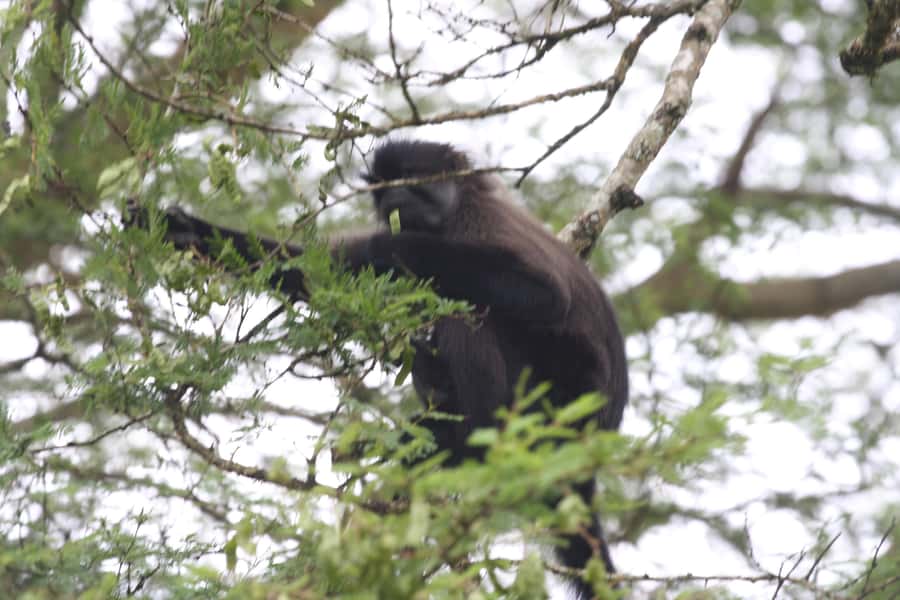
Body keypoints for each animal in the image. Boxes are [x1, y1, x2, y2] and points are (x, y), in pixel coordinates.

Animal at [126, 140, 628, 599]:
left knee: (470, 311)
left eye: (409, 181)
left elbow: (544, 295)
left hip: (561, 392)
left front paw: (391, 244)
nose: (391, 203)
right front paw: (180, 229)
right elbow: (319, 271)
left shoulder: (478, 225)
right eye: (382, 189)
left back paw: (470, 439)